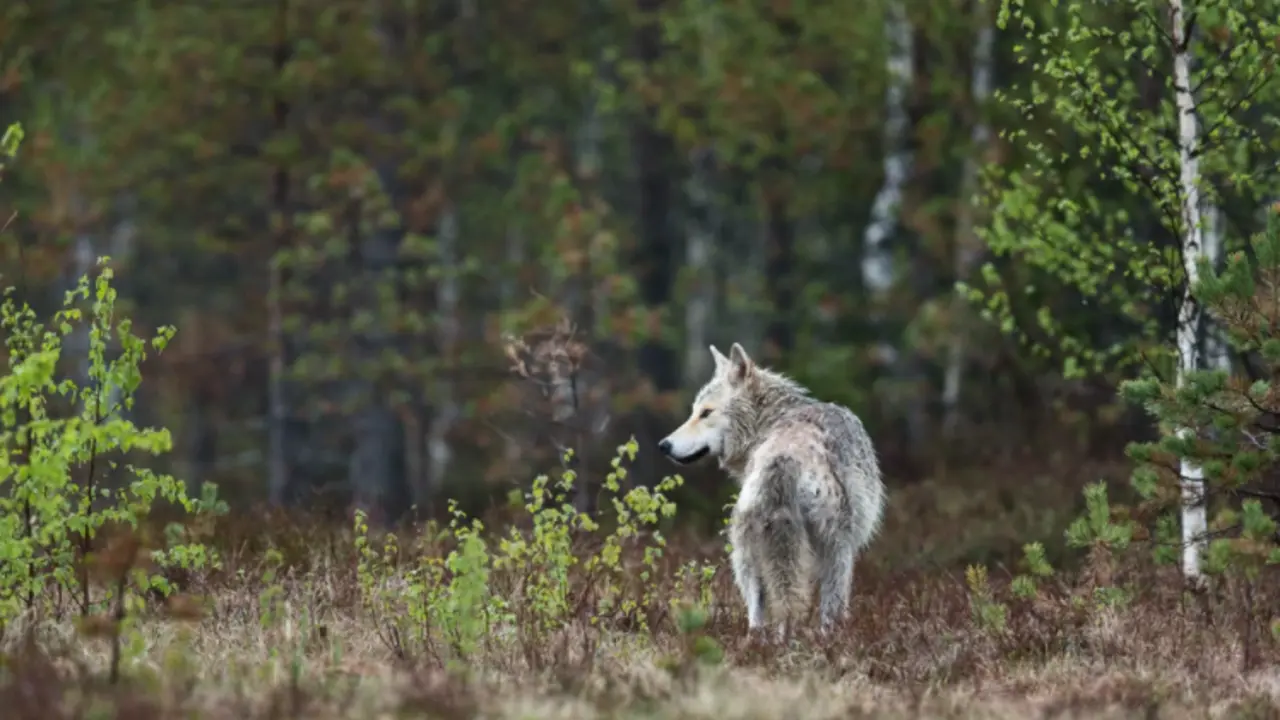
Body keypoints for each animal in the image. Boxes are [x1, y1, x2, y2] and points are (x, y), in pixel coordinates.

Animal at [657, 343, 886, 639]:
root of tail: (782, 459)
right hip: (834, 549)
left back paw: (761, 642)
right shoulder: (845, 548)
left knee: (758, 612)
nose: (663, 445)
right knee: (824, 611)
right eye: (695, 411)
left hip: (747, 552)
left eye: (705, 412)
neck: (769, 422)